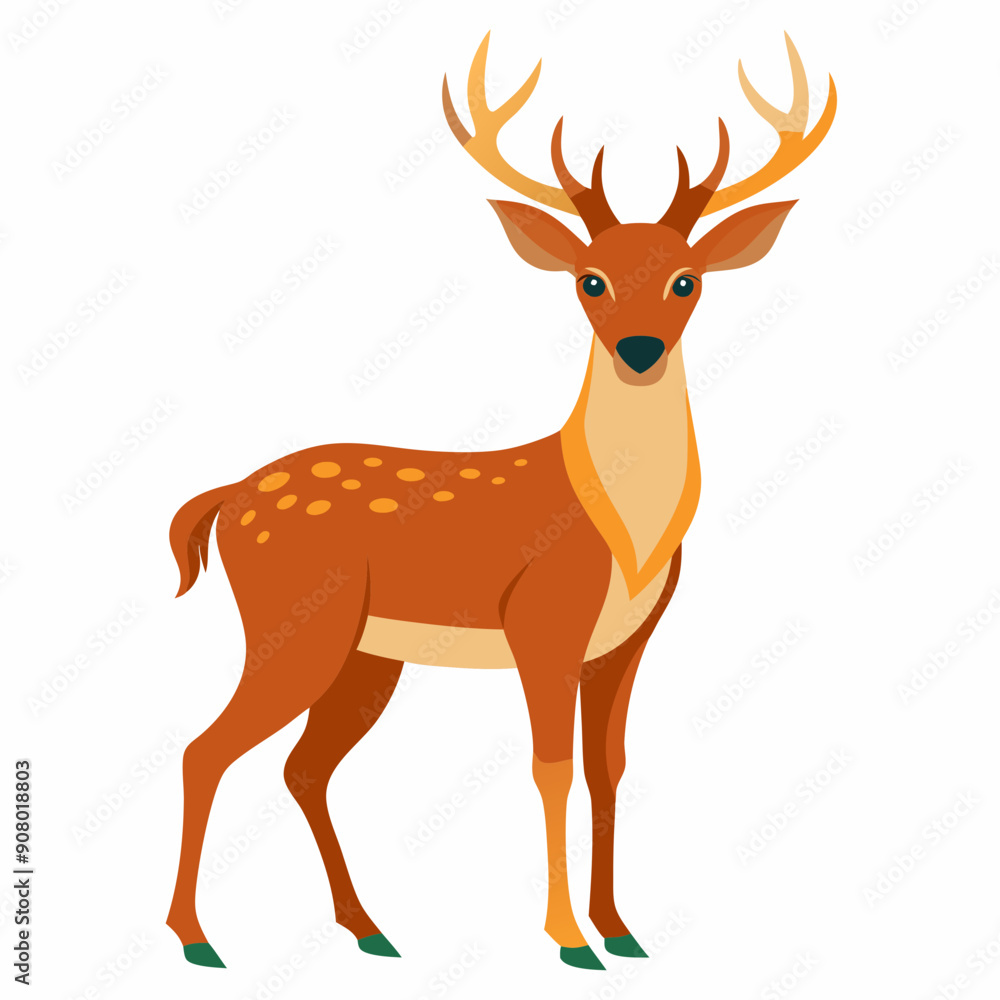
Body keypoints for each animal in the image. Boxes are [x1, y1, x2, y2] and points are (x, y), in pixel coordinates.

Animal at [166, 31, 835, 971]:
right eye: (589, 280)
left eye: (687, 280)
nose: (638, 348)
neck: (625, 537)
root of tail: (227, 497)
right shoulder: (542, 622)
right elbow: (550, 767)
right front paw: (568, 940)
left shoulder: (626, 642)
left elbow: (607, 768)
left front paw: (621, 929)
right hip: (293, 622)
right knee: (205, 749)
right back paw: (197, 940)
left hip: (364, 654)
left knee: (303, 767)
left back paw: (369, 929)